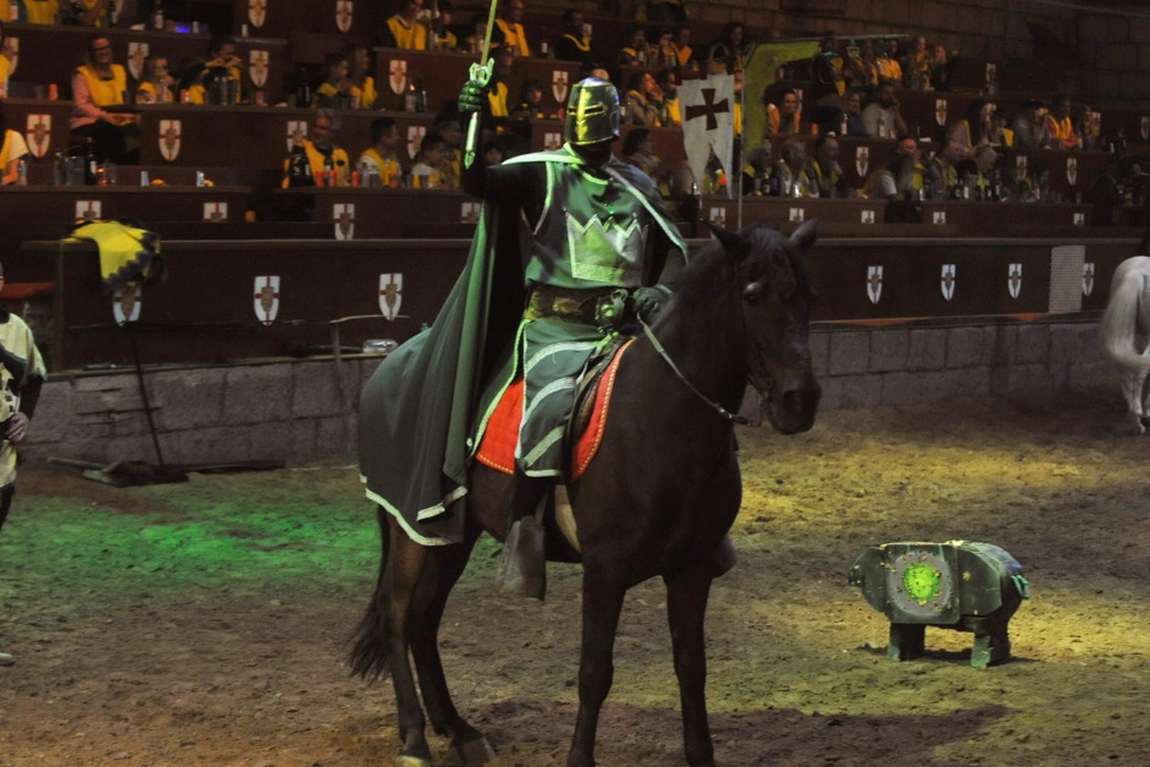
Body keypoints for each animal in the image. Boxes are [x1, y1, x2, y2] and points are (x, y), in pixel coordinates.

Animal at [354, 221, 823, 767]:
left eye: (807, 295)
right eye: (751, 295)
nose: (800, 400)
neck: (661, 418)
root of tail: (393, 363)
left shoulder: (691, 568)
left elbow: (692, 667)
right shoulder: (605, 570)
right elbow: (595, 672)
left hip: (454, 534)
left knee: (425, 618)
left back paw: (458, 728)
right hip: (412, 526)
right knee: (398, 614)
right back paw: (414, 738)